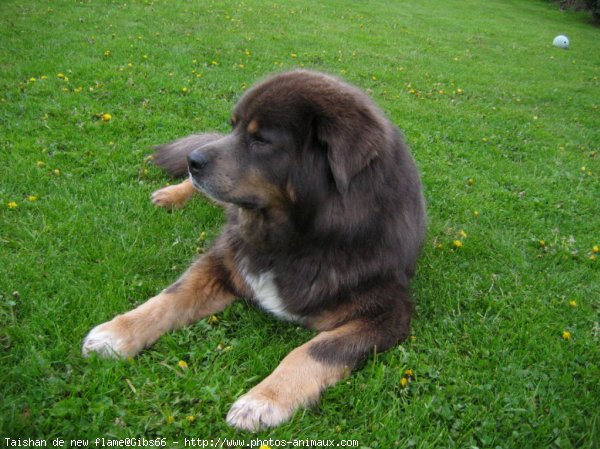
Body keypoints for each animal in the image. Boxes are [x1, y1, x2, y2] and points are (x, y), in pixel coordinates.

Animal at [82, 70, 424, 430]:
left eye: (260, 140)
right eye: (233, 126)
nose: (193, 161)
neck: (294, 238)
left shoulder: (386, 312)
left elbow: (316, 350)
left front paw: (264, 399)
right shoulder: (225, 262)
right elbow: (170, 297)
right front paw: (116, 333)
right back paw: (172, 194)